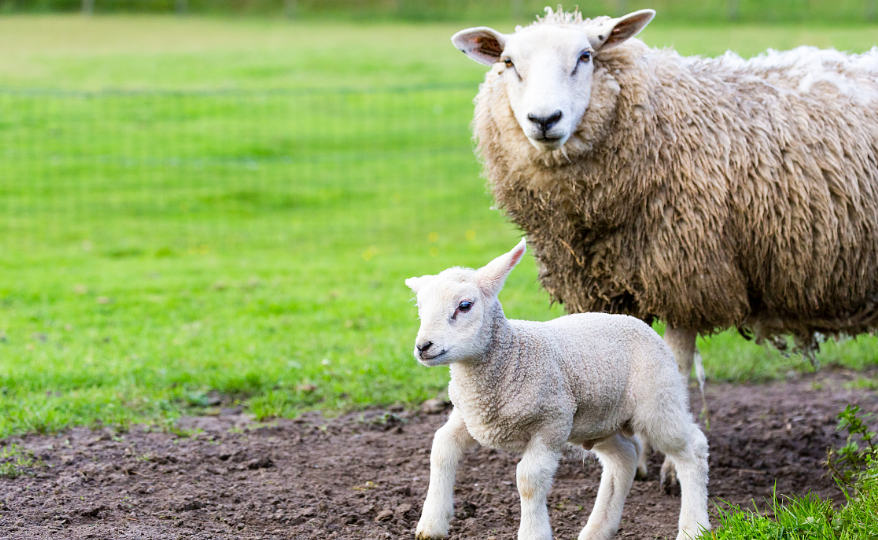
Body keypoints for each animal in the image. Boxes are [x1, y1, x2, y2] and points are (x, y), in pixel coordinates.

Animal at [410, 240, 712, 540]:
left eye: (465, 305)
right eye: (420, 309)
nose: (423, 347)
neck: (511, 358)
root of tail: (638, 322)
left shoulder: (552, 423)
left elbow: (529, 479)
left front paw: (533, 533)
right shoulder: (470, 416)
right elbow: (441, 448)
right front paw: (431, 525)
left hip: (658, 400)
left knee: (693, 449)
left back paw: (693, 528)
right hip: (599, 420)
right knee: (624, 459)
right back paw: (597, 530)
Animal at [458, 6, 878, 486]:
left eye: (585, 56)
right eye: (508, 62)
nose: (544, 120)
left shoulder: (686, 275)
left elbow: (673, 368)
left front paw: (671, 469)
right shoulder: (611, 284)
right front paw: (634, 458)